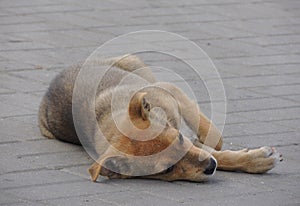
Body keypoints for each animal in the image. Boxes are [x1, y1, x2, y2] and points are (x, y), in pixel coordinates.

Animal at [38, 54, 282, 182]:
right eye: (167, 170)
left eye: (178, 139)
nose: (209, 167)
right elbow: (215, 154)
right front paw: (257, 160)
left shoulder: (170, 91)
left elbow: (211, 138)